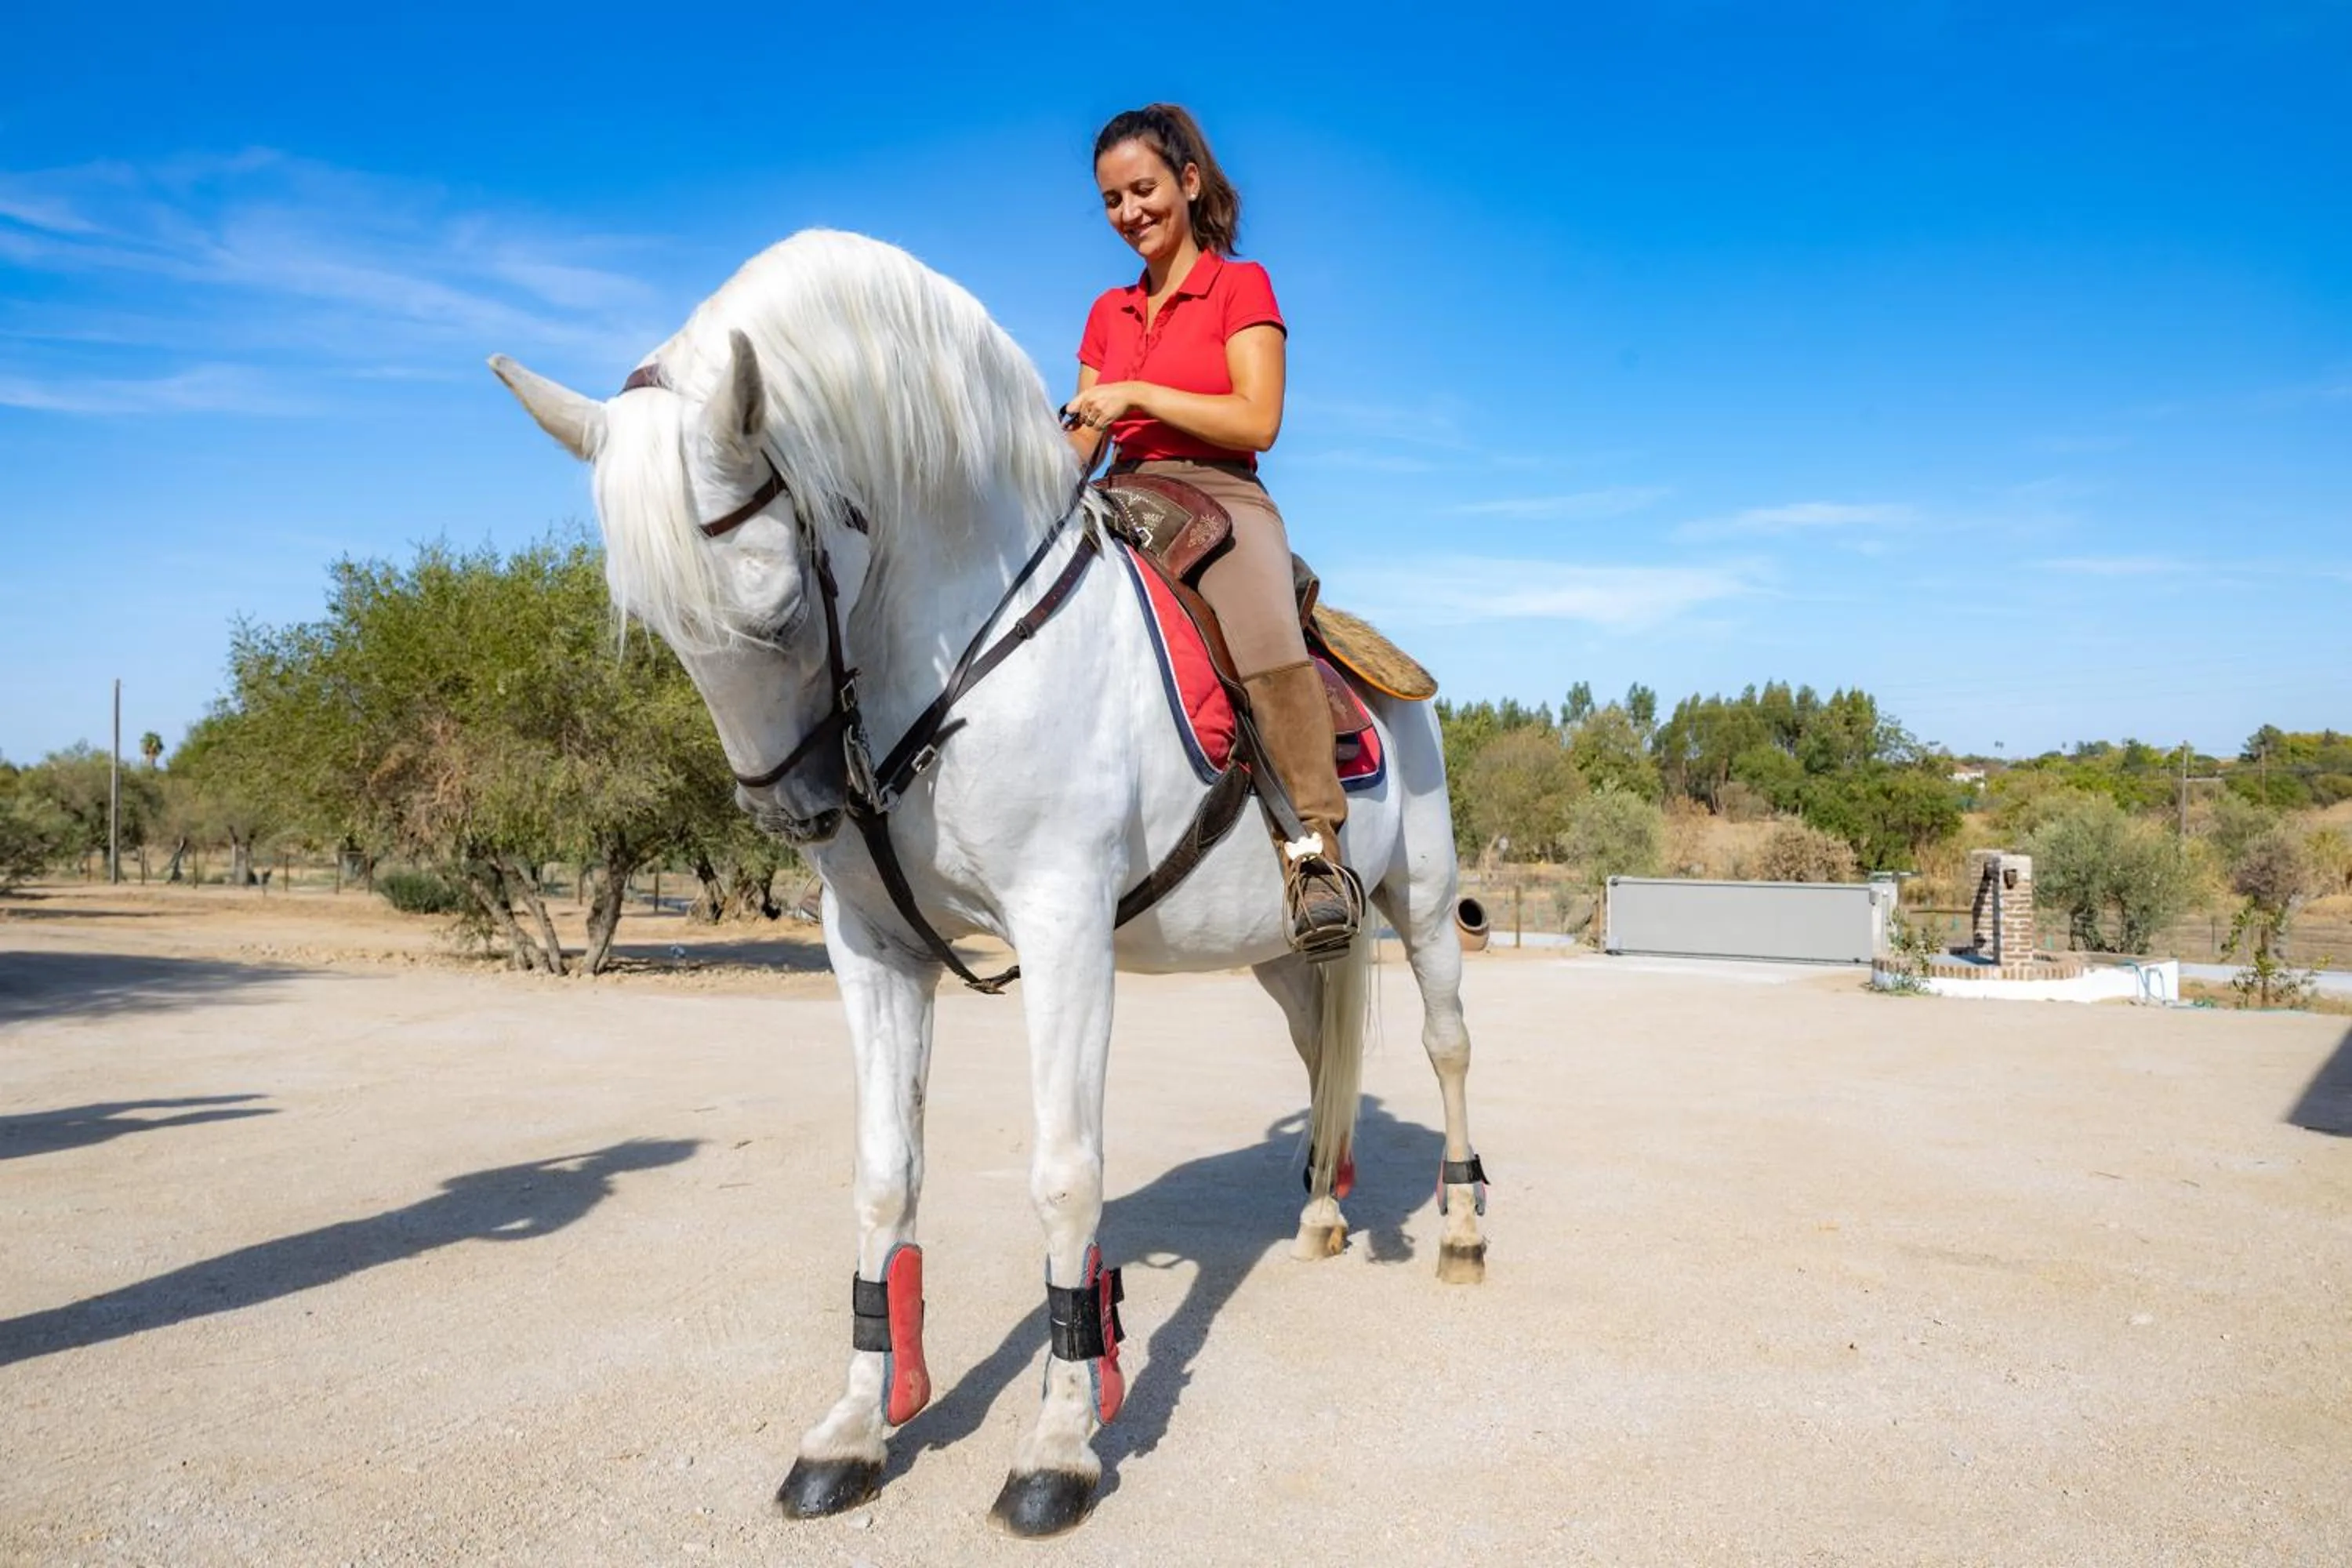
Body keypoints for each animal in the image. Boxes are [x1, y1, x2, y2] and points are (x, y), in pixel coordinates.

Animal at [488, 229, 1486, 1536]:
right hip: (1282, 945)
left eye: (776, 608)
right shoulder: (873, 949)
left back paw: (1462, 1229)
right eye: (659, 627)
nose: (798, 813)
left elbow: (1065, 1180)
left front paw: (1057, 1449)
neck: (966, 654)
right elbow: (882, 1180)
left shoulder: (1064, 933)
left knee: (1447, 1047)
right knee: (1324, 1055)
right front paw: (856, 1429)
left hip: (1422, 904)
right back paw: (1321, 1210)